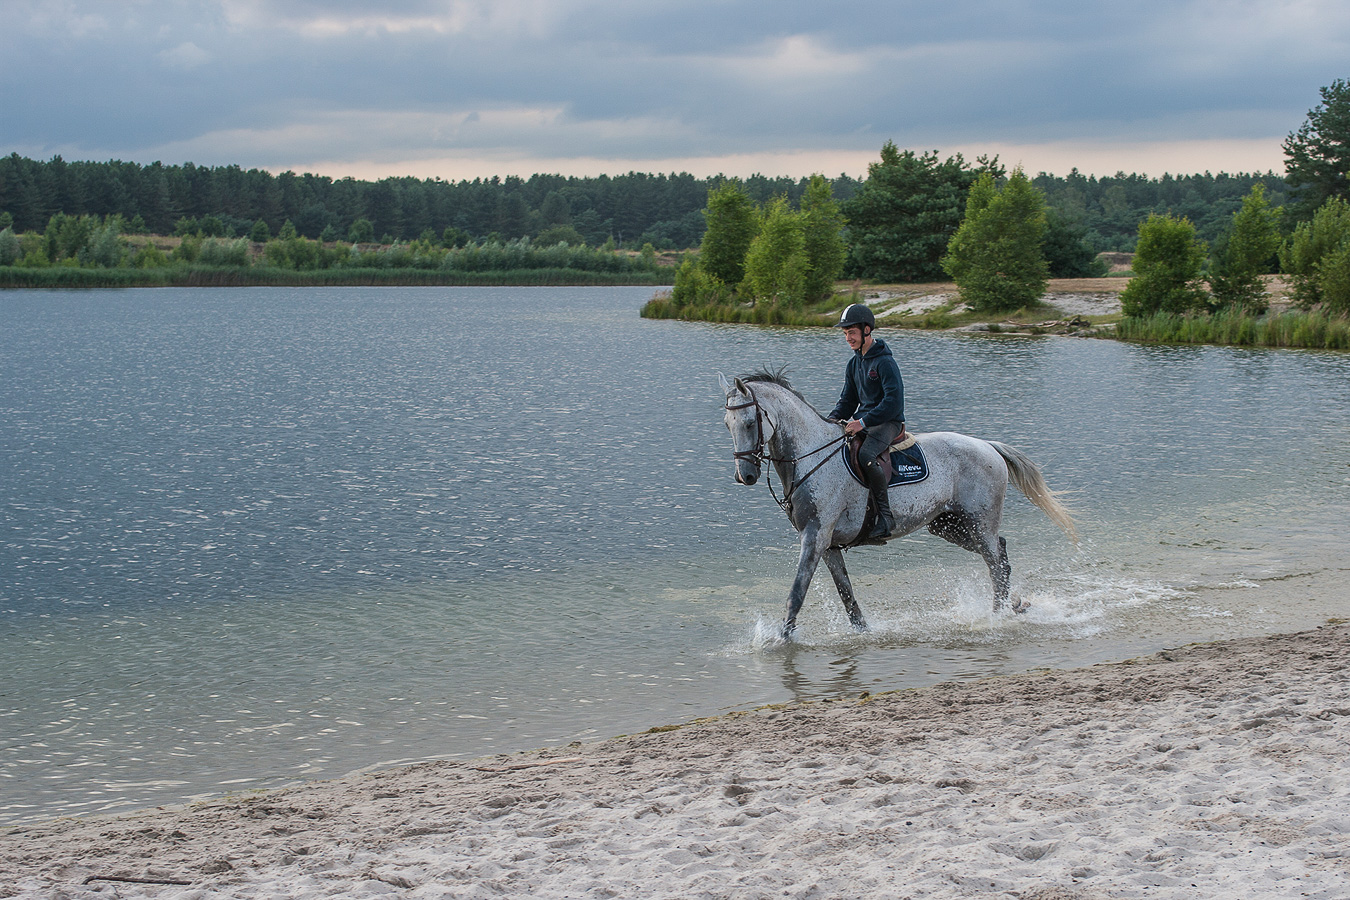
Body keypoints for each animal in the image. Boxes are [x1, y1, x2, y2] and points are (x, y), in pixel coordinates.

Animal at [718, 367, 1074, 639]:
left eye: (749, 422)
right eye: (727, 424)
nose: (744, 475)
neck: (811, 456)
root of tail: (988, 446)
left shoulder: (815, 537)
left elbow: (796, 593)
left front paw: (781, 640)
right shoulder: (828, 545)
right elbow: (847, 596)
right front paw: (863, 632)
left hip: (979, 523)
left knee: (996, 563)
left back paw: (998, 615)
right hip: (950, 526)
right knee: (1001, 552)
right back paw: (1015, 605)